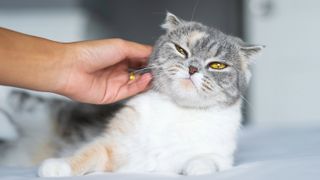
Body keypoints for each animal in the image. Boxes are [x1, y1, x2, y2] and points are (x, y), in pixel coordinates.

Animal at [37, 12, 262, 177]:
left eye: (217, 65)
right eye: (181, 50)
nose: (192, 68)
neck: (180, 110)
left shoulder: (222, 156)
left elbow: (207, 160)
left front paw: (196, 168)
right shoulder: (115, 143)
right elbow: (88, 153)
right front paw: (58, 166)